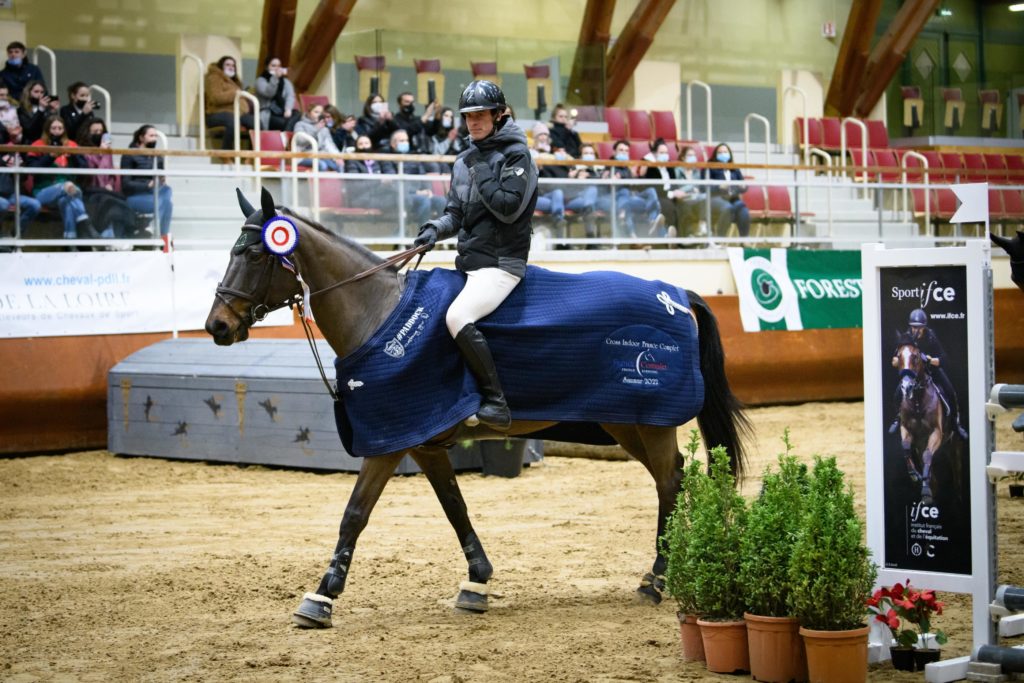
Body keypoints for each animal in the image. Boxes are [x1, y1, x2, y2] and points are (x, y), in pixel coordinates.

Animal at [205, 188, 753, 630]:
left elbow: (354, 514)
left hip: (648, 420)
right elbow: (454, 506)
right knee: (671, 478)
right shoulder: (424, 442)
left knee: (670, 481)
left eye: (254, 254)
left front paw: (322, 596)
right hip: (624, 425)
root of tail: (675, 293)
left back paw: (656, 579)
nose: (217, 326)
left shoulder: (388, 441)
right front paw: (477, 581)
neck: (378, 312)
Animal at [892, 337, 962, 507]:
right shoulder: (906, 429)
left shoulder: (936, 432)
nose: (906, 386)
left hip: (954, 444)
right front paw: (914, 475)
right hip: (921, 445)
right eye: (899, 356)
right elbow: (905, 447)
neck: (918, 401)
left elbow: (928, 456)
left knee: (956, 470)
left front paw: (925, 490)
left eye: (916, 356)